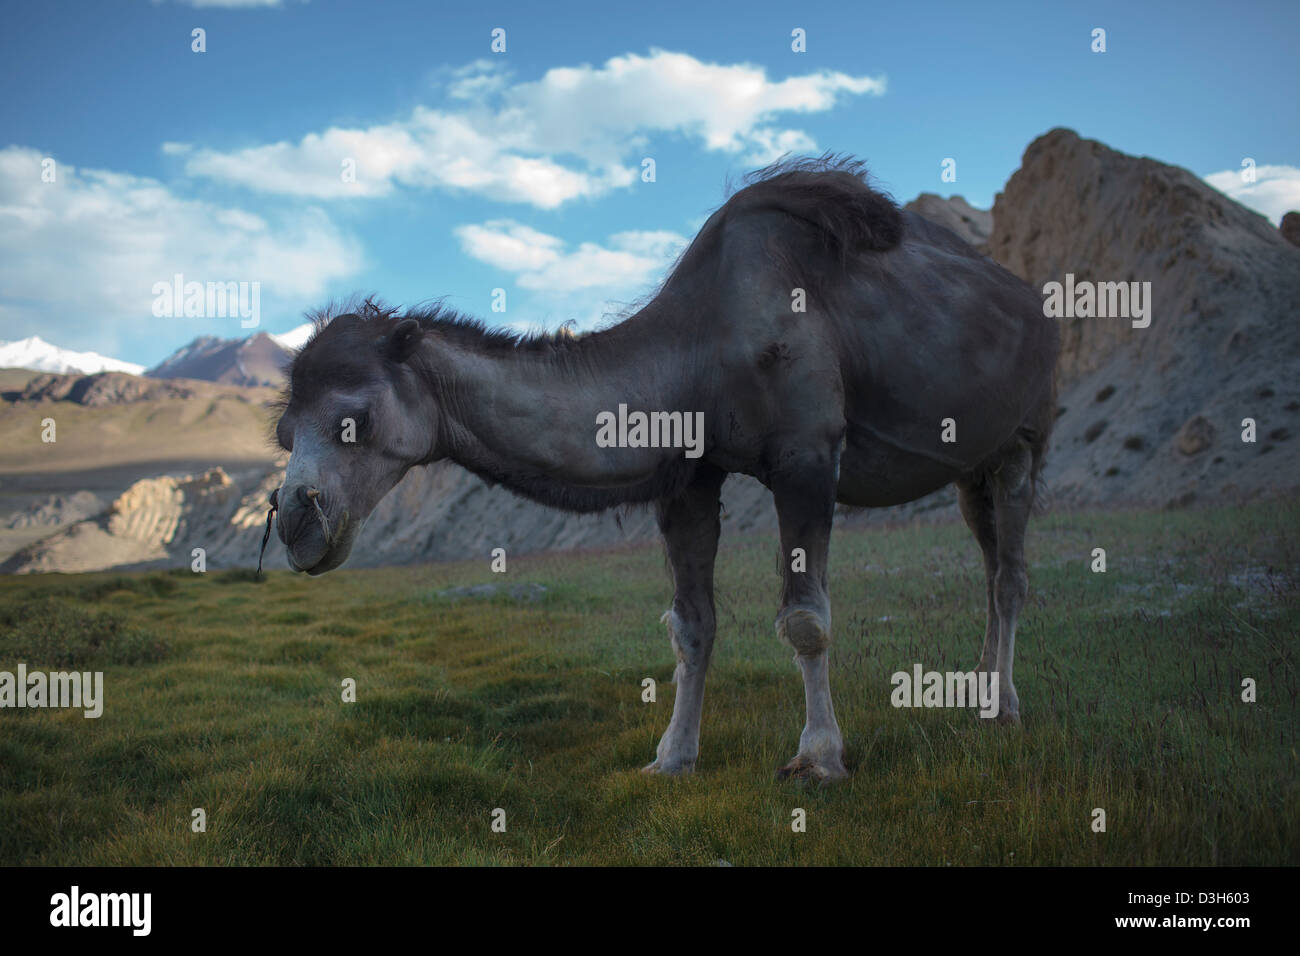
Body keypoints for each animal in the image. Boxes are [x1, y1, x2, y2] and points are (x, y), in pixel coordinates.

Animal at [266, 158, 1055, 785]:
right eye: (283, 431)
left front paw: (819, 758)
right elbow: (691, 625)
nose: (295, 518)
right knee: (988, 558)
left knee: (1011, 574)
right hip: (970, 464)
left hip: (1027, 431)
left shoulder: (805, 453)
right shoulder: (687, 475)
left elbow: (804, 620)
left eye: (355, 419)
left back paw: (1005, 709)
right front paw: (672, 757)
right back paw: (980, 692)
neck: (697, 350)